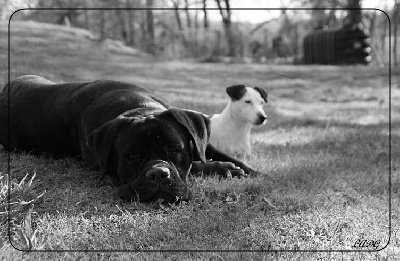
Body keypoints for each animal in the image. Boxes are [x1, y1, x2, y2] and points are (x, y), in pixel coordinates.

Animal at [0, 75, 258, 203]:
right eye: (131, 157)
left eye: (175, 149)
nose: (157, 174)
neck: (139, 108)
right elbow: (195, 165)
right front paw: (224, 168)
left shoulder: (201, 141)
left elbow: (213, 153)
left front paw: (250, 170)